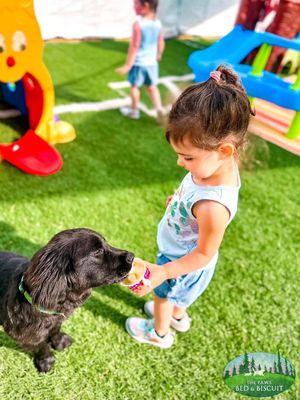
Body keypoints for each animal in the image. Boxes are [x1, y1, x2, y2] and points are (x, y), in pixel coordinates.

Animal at [0, 228, 132, 372]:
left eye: (106, 243)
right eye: (98, 251)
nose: (131, 256)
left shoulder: (57, 318)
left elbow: (56, 329)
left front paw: (59, 341)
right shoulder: (23, 334)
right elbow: (40, 345)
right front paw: (46, 360)